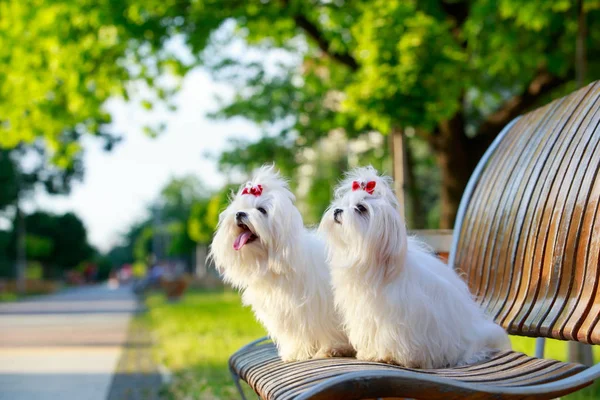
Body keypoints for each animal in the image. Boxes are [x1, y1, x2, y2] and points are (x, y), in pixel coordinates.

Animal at [210, 164, 354, 360]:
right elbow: (294, 334)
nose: (239, 214)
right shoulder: (286, 313)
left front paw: (332, 348)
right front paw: (295, 352)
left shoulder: (318, 306)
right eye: (240, 208)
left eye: (262, 210)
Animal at [318, 166, 510, 368]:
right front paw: (370, 353)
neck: (375, 269)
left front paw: (389, 356)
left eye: (361, 208)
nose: (337, 211)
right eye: (342, 203)